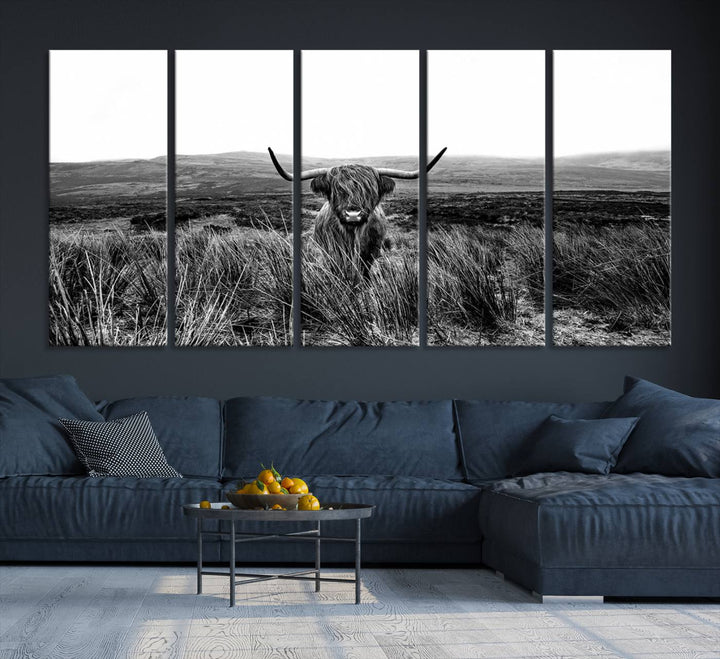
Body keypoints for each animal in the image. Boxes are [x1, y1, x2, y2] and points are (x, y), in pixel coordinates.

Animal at [268, 146, 444, 280]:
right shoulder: (332, 252)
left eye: (369, 190)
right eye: (337, 190)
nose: (353, 214)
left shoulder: (370, 253)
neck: (352, 235)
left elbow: (363, 273)